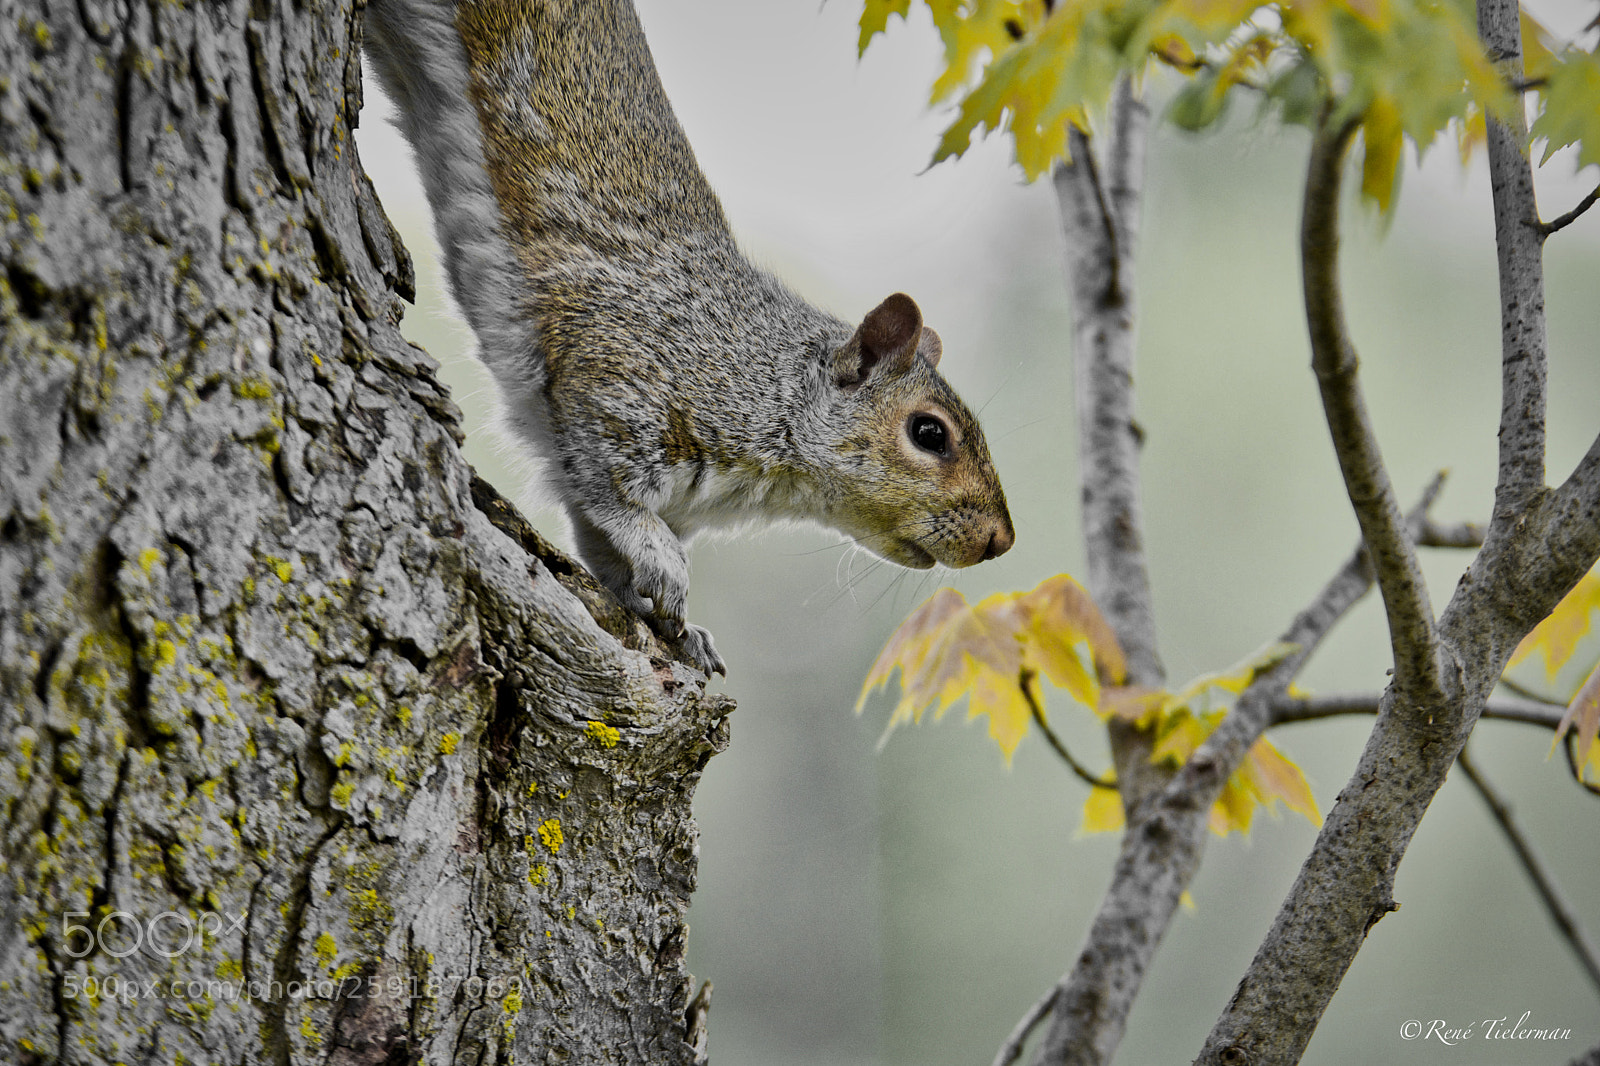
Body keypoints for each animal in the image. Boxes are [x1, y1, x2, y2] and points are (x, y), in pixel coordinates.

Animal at [361, 0, 1014, 676]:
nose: (1001, 540)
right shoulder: (612, 380)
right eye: (929, 433)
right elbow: (610, 497)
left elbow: (599, 545)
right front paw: (666, 566)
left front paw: (679, 628)